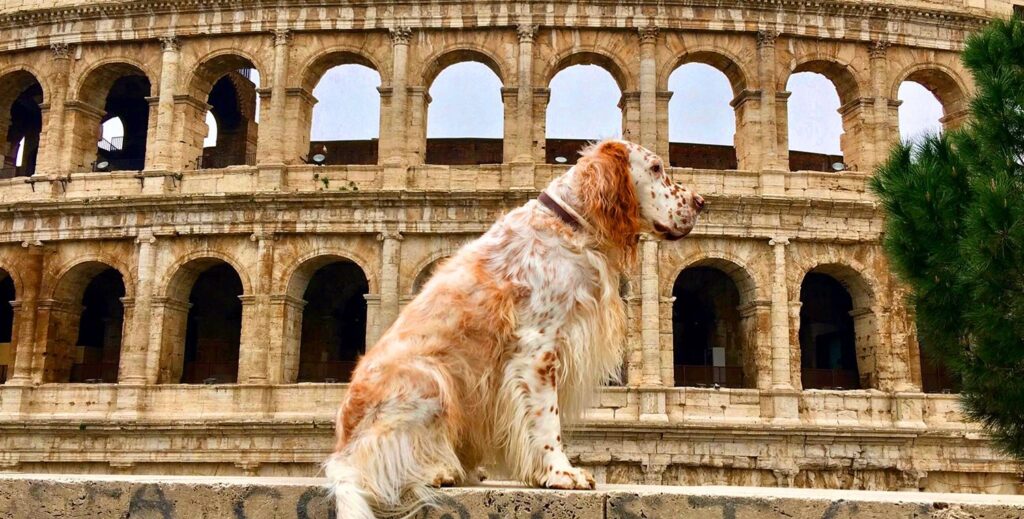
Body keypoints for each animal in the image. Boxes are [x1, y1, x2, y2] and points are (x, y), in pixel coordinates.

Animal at [325, 140, 704, 517]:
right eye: (655, 168)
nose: (701, 202)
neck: (570, 225)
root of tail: (341, 451)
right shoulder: (537, 349)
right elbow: (547, 420)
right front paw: (561, 473)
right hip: (430, 380)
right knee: (376, 465)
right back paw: (437, 471)